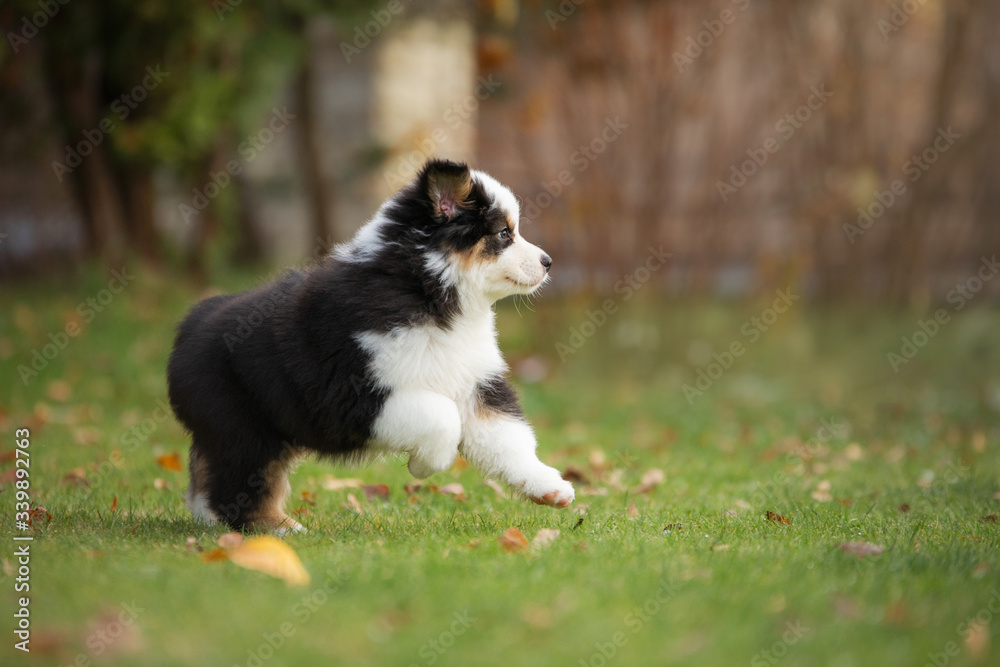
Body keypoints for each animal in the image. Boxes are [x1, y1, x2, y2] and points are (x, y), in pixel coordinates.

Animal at [167, 157, 576, 532]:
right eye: (504, 234)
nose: (548, 262)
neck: (428, 290)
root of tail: (191, 323)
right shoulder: (357, 393)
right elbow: (443, 417)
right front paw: (423, 465)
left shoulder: (476, 383)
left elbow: (508, 439)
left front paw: (550, 487)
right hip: (245, 431)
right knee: (240, 486)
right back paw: (277, 528)